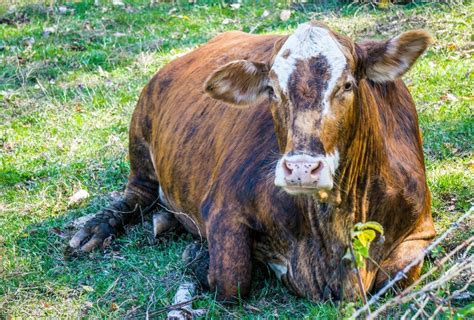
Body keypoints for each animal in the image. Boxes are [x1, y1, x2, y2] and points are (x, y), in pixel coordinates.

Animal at [68, 21, 436, 302]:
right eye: (272, 90)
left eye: (347, 85)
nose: (302, 169)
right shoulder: (224, 208)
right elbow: (232, 280)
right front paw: (199, 257)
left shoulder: (422, 230)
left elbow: (398, 277)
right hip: (140, 138)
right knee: (136, 195)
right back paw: (95, 229)